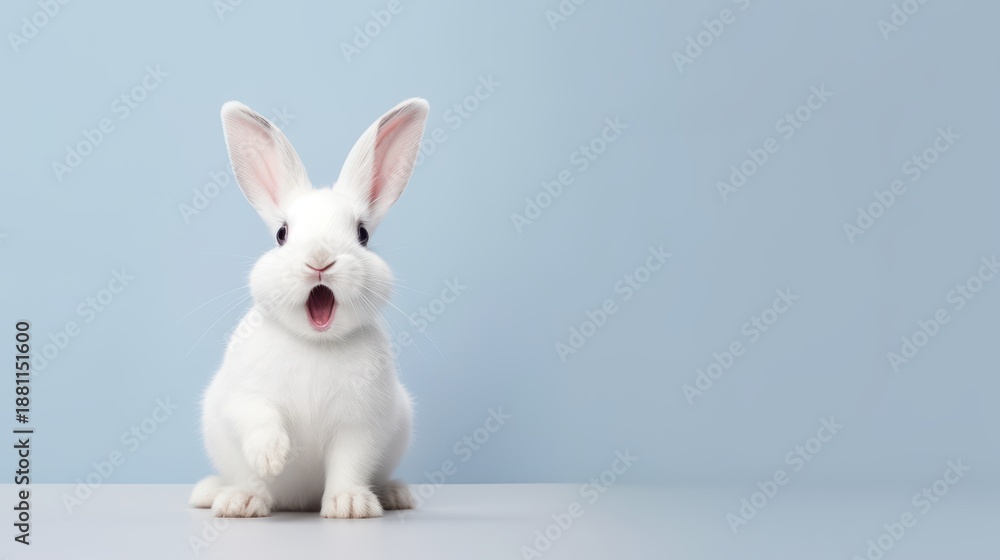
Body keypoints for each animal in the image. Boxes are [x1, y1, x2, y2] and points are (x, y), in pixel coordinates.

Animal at [189, 98, 429, 518]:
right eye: (282, 234)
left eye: (362, 234)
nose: (320, 259)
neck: (315, 342)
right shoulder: (243, 396)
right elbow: (258, 420)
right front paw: (273, 456)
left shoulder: (361, 424)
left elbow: (351, 463)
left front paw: (349, 505)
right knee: (244, 479)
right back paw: (231, 499)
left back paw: (395, 494)